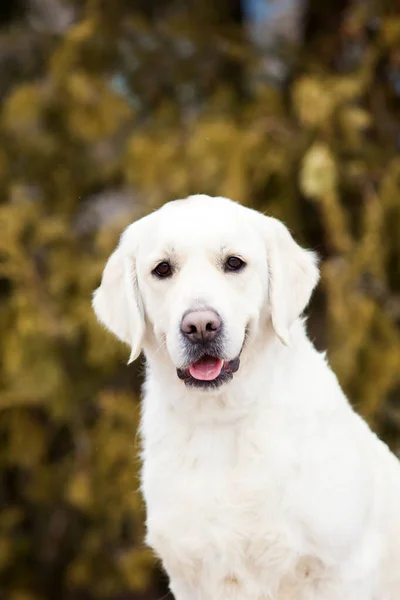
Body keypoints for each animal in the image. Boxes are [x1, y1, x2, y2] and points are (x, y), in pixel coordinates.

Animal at [92, 197, 400, 600]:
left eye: (234, 263)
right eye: (162, 269)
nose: (200, 326)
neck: (222, 419)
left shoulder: (343, 568)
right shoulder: (190, 576)